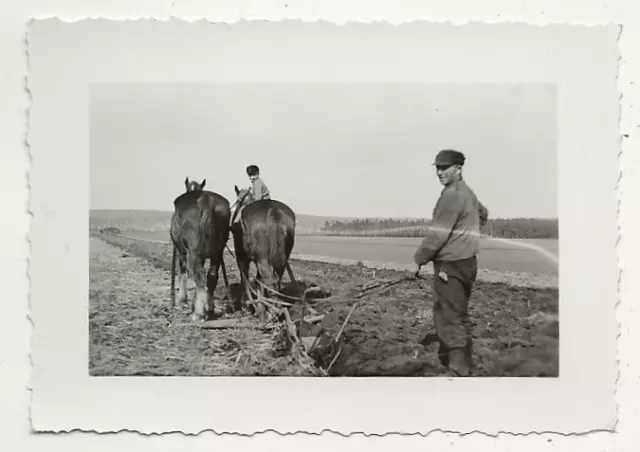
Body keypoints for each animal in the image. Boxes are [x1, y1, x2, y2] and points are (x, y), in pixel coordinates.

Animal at [169, 177, 231, 322]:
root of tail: (206, 201)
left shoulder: (182, 252)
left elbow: (183, 273)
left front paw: (182, 301)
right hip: (217, 252)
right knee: (211, 277)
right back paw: (210, 310)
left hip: (193, 252)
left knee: (198, 275)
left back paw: (198, 313)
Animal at [231, 185, 296, 316]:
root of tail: (273, 210)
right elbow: (258, 280)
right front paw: (260, 303)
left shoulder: (242, 259)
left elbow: (245, 279)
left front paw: (247, 305)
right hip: (281, 259)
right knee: (275, 279)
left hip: (262, 260)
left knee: (270, 281)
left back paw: (272, 311)